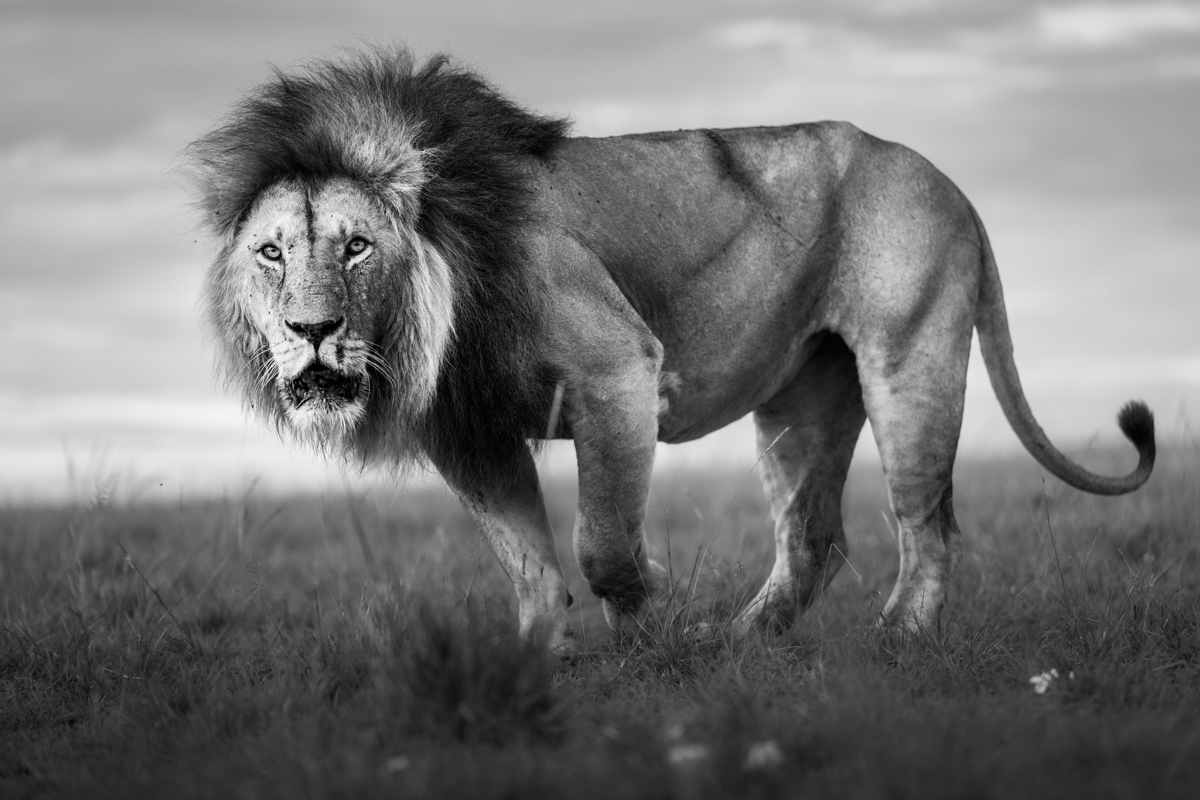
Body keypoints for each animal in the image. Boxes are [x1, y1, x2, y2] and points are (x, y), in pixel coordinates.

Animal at [186, 48, 1154, 655]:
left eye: (356, 247)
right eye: (271, 253)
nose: (312, 331)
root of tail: (952, 183)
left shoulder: (615, 372)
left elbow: (602, 543)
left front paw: (653, 636)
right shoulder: (469, 431)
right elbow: (526, 560)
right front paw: (537, 658)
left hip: (908, 359)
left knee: (928, 521)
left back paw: (901, 638)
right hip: (802, 401)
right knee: (813, 534)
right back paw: (745, 642)